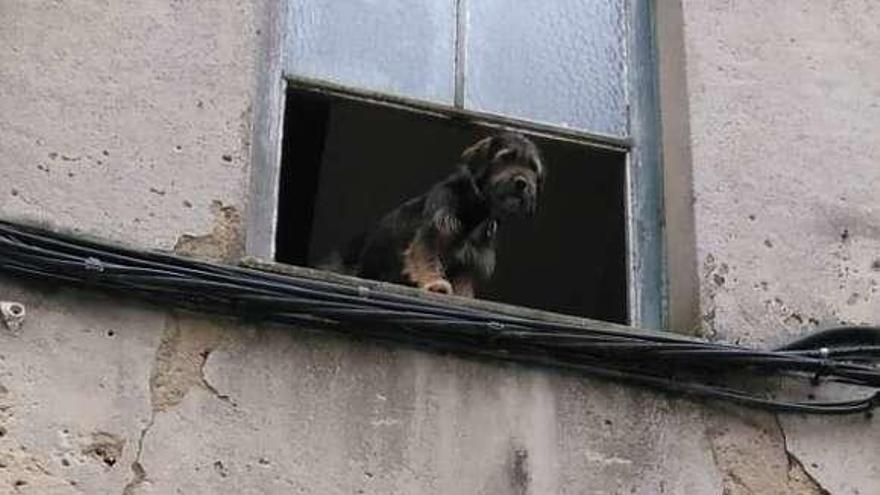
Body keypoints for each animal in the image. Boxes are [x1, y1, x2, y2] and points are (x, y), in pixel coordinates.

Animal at [322, 130, 544, 298]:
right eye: (505, 158)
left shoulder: (469, 259)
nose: (522, 184)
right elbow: (427, 257)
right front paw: (435, 283)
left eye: (532, 168)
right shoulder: (433, 230)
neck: (475, 208)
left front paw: (463, 295)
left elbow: (464, 282)